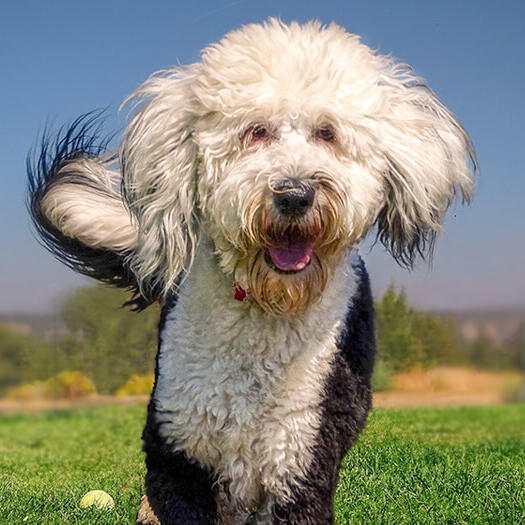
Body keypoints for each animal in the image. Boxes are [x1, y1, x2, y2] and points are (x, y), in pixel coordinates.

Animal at [30, 19, 476, 524]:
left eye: (327, 133)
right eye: (255, 131)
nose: (295, 194)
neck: (265, 307)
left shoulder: (300, 458)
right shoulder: (180, 450)